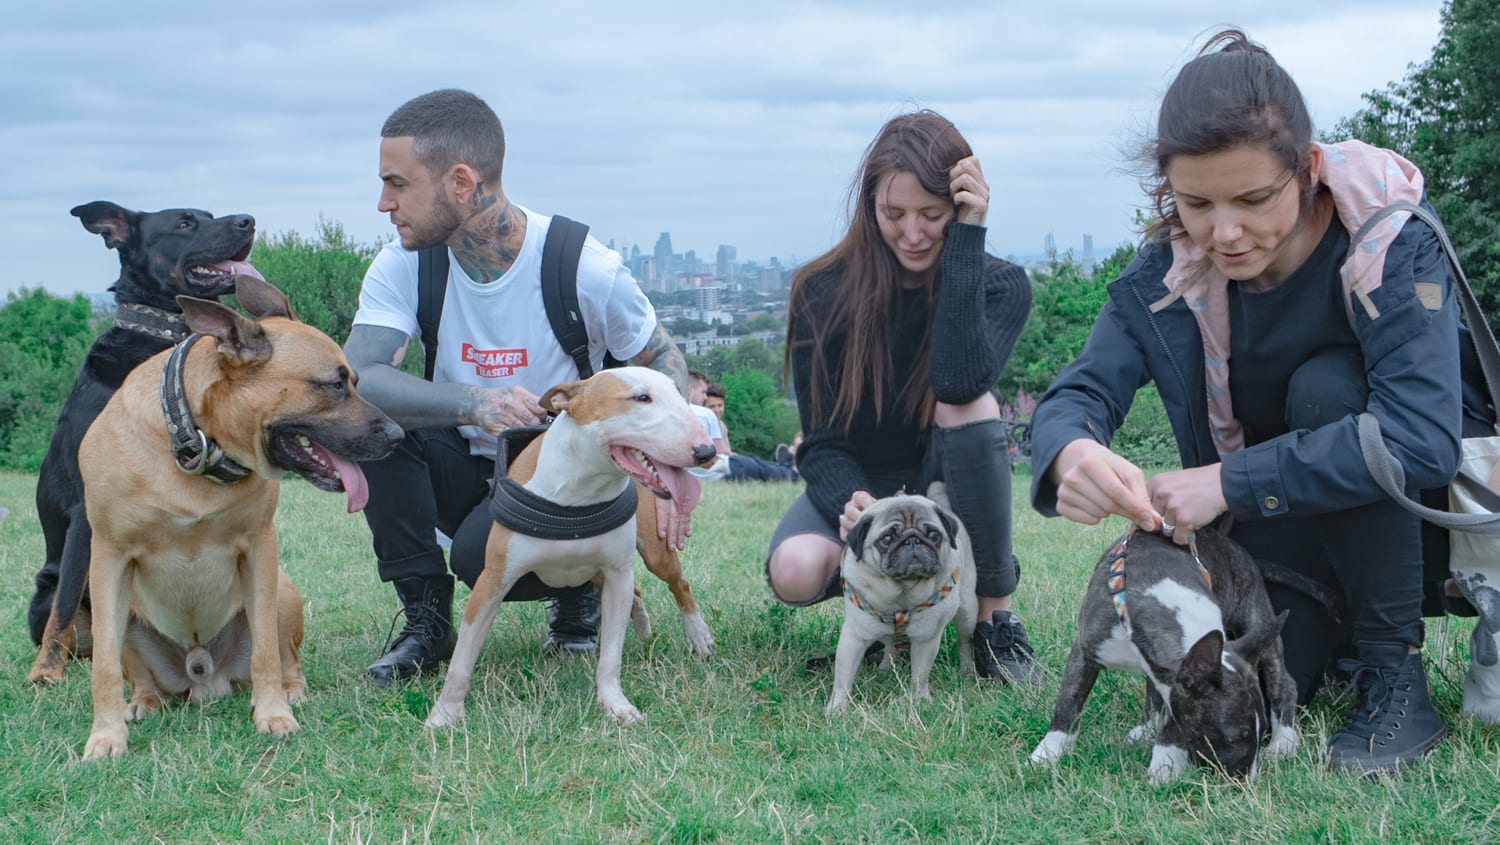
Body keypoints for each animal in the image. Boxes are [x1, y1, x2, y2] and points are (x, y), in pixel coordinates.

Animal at [26, 205, 256, 687]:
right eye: (184, 223)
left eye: (209, 214)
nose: (249, 220)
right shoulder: (88, 512)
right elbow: (66, 605)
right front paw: (45, 672)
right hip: (46, 585)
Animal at [76, 277, 405, 759]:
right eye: (334, 384)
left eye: (354, 381)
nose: (399, 436)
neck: (197, 446)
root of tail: (204, 676)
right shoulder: (108, 561)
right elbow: (102, 666)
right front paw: (105, 735)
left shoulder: (259, 550)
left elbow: (266, 652)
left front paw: (273, 713)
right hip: (120, 612)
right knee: (137, 676)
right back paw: (143, 702)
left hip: (284, 593)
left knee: (286, 658)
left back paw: (291, 691)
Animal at [426, 370, 717, 726]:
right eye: (641, 398)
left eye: (679, 394)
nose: (706, 451)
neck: (581, 488)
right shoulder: (493, 580)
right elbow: (463, 656)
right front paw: (444, 714)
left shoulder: (618, 574)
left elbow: (611, 657)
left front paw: (616, 705)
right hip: (594, 574)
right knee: (638, 592)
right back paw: (644, 629)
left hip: (653, 554)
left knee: (679, 584)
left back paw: (697, 636)